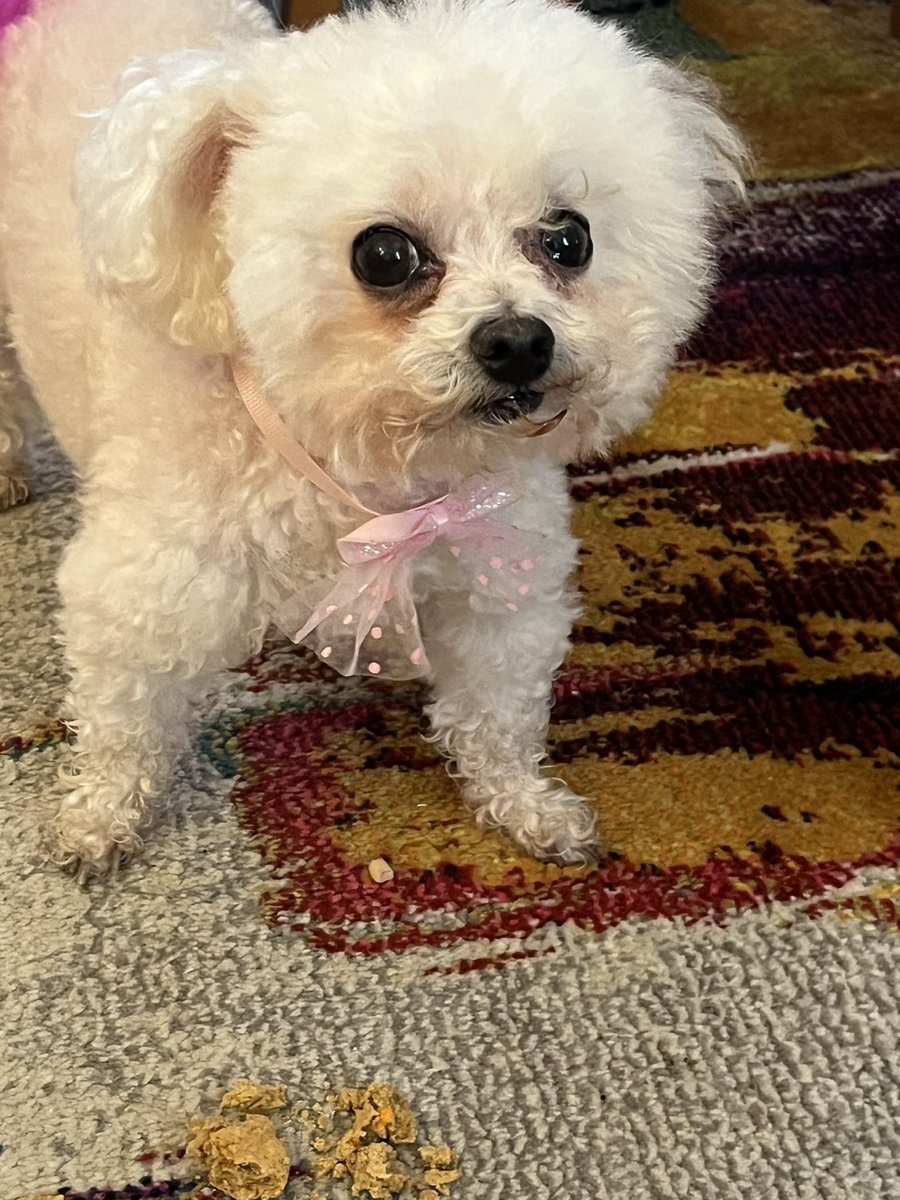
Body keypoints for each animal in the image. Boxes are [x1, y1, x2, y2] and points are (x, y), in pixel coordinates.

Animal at [0, 0, 748, 883]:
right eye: (385, 255)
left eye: (570, 239)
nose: (519, 341)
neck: (368, 473)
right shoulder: (142, 593)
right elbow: (124, 723)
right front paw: (99, 819)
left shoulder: (499, 583)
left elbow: (497, 716)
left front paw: (526, 807)